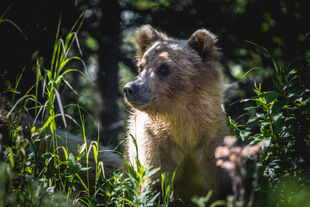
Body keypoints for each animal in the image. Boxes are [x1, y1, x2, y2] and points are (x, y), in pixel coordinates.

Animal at [123, 25, 230, 203]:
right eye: (141, 67)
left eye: (163, 68)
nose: (130, 89)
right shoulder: (156, 141)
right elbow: (154, 183)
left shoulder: (210, 141)